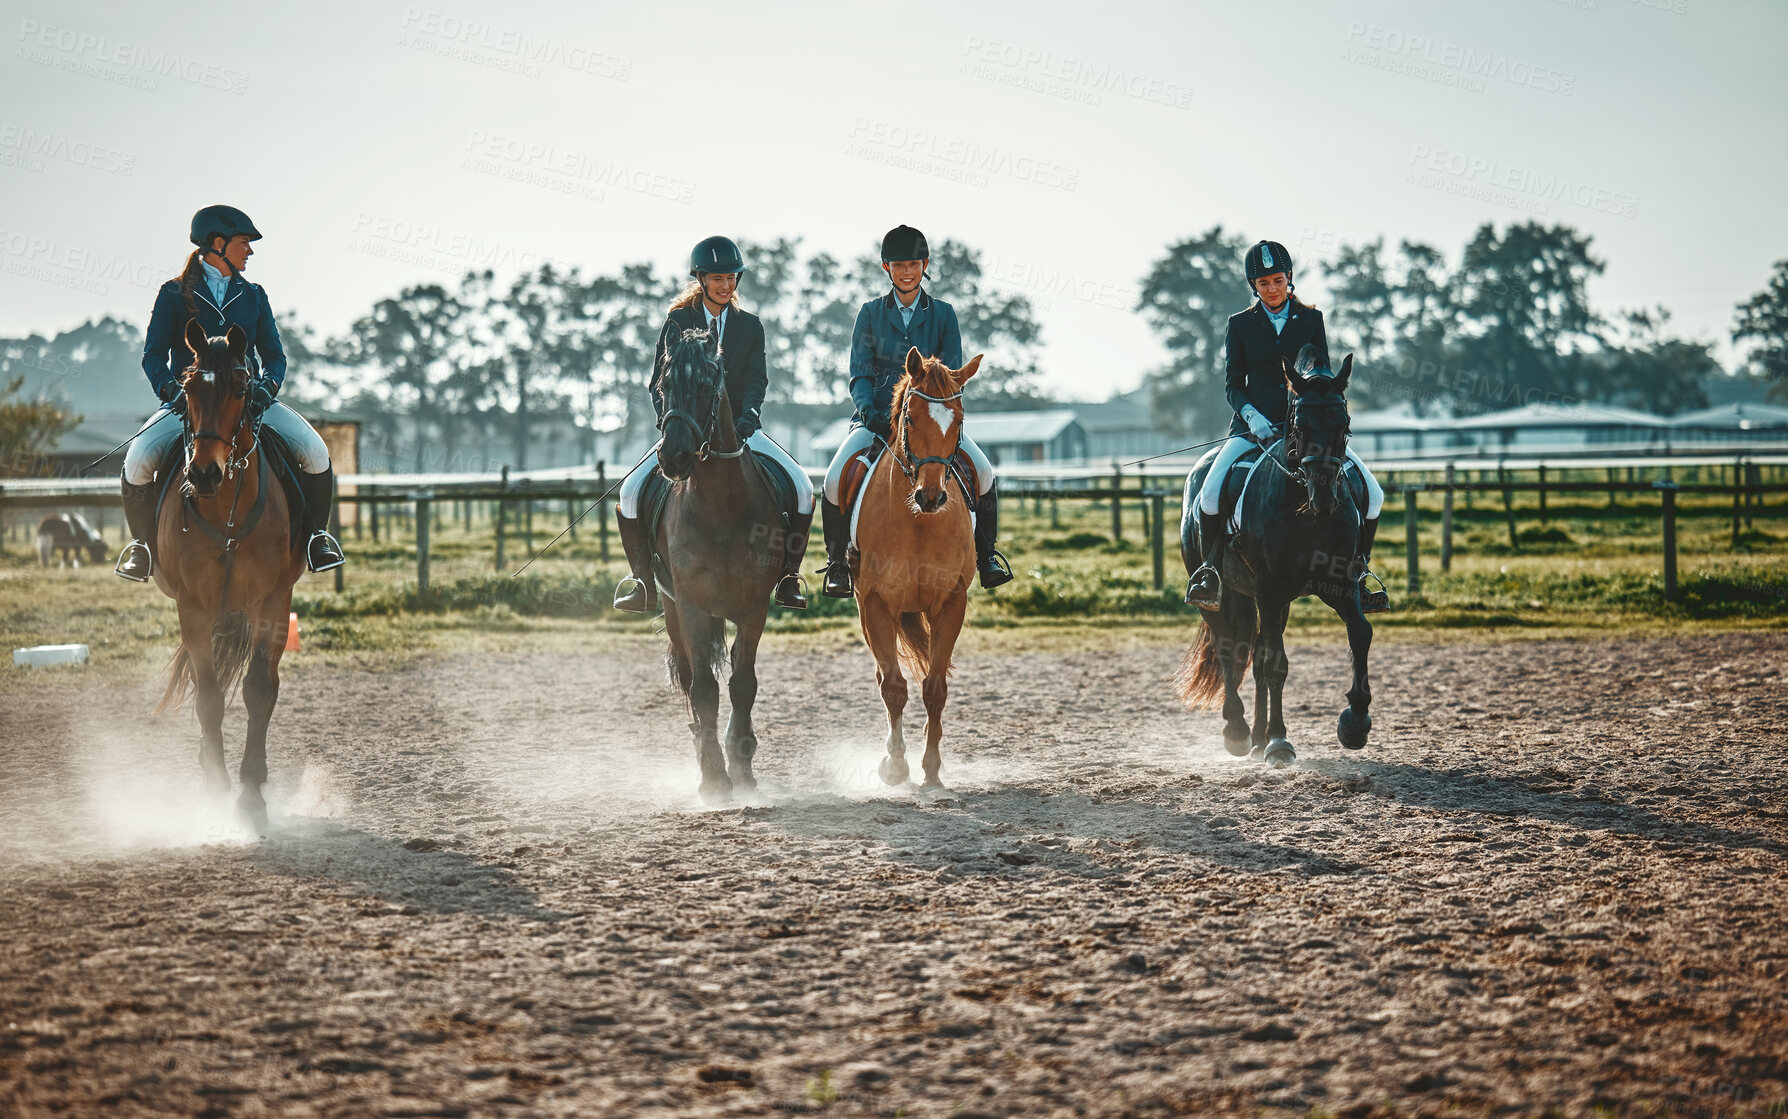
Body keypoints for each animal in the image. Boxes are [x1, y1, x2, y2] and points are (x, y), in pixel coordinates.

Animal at [151, 319, 303, 818]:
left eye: (241, 389)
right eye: (187, 389)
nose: (203, 475)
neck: (226, 515)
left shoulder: (272, 602)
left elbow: (258, 690)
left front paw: (251, 790)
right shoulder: (193, 607)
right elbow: (209, 697)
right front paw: (217, 788)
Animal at [657, 327, 790, 797]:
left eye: (704, 386)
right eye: (663, 387)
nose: (672, 458)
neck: (720, 505)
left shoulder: (754, 606)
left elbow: (742, 683)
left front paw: (742, 764)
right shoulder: (691, 605)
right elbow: (703, 689)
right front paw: (714, 775)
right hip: (671, 608)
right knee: (688, 675)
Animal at [854, 346, 986, 782]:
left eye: (958, 420)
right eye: (910, 418)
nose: (931, 496)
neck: (919, 524)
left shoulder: (950, 603)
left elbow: (935, 687)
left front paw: (931, 768)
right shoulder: (877, 604)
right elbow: (894, 687)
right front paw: (896, 765)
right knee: (884, 676)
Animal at [1172, 346, 1366, 765]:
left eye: (1343, 423)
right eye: (1299, 425)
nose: (1323, 496)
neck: (1306, 514)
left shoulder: (1339, 584)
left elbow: (1361, 634)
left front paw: (1355, 723)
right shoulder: (1270, 589)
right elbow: (1275, 662)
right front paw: (1279, 741)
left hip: (1268, 599)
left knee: (1256, 655)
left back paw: (1258, 737)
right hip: (1222, 594)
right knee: (1229, 649)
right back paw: (1239, 731)